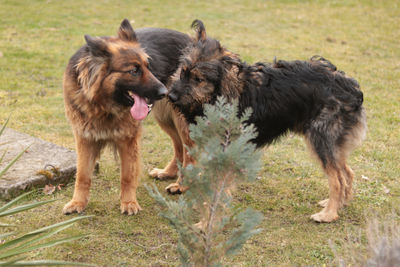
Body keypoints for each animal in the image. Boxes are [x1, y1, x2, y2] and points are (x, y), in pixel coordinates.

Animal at [167, 19, 368, 223]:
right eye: (183, 72)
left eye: (198, 79)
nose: (171, 96)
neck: (221, 94)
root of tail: (351, 87)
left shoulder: (228, 148)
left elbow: (218, 187)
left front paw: (208, 218)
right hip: (332, 143)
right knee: (347, 172)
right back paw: (338, 204)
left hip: (321, 138)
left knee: (337, 179)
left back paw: (328, 214)